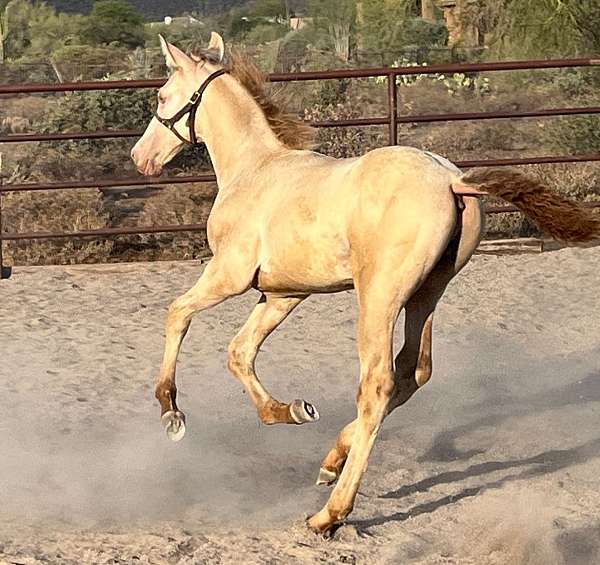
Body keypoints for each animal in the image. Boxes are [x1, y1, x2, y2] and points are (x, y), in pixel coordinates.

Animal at [132, 33, 600, 536]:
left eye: (162, 97)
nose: (140, 157)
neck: (255, 170)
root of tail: (453, 181)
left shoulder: (229, 275)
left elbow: (177, 313)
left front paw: (171, 412)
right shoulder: (282, 293)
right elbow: (240, 352)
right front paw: (288, 410)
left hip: (378, 298)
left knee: (378, 384)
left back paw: (329, 514)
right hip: (427, 294)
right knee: (413, 371)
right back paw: (330, 461)